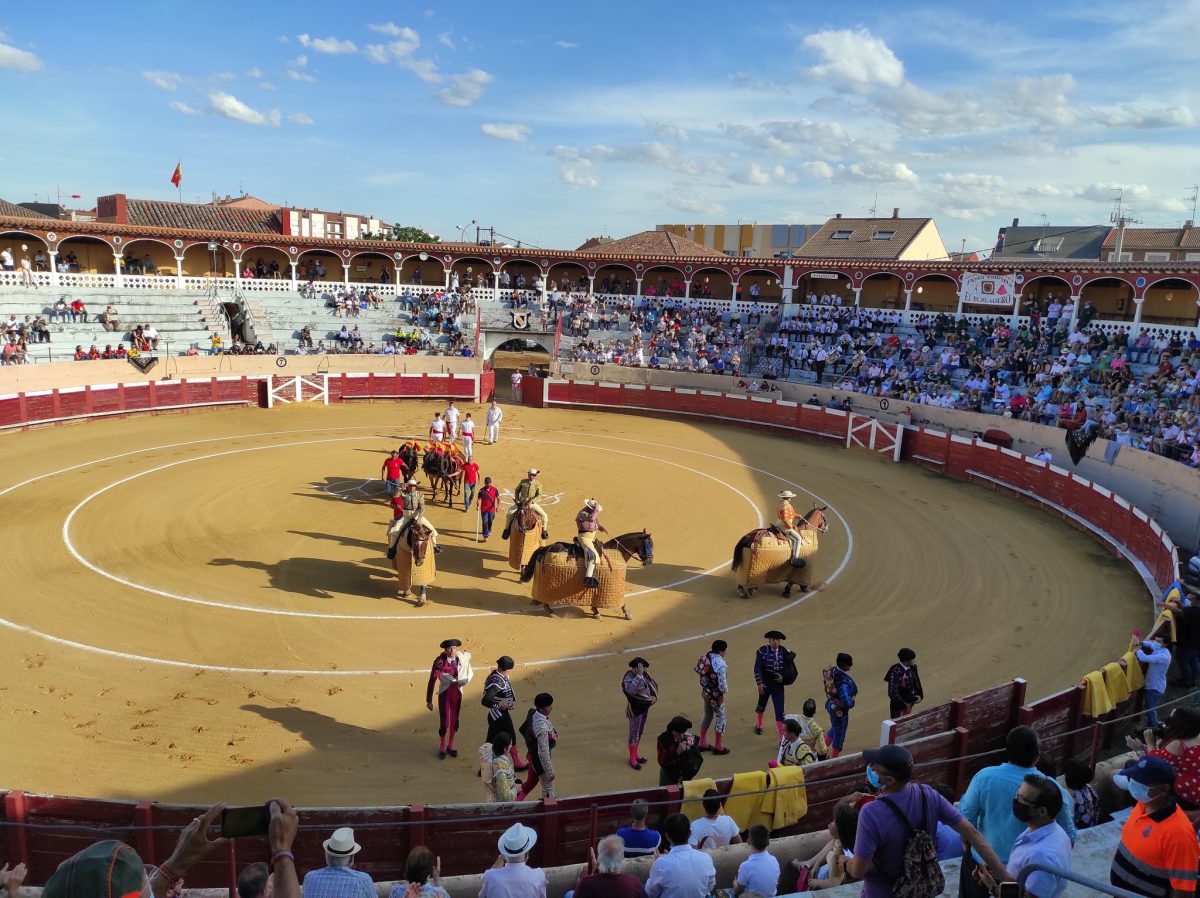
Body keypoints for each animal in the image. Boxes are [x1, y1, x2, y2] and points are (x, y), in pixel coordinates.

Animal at [518, 533, 652, 619]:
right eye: (647, 545)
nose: (649, 561)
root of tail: (544, 548)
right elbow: (621, 601)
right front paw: (627, 613)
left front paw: (595, 611)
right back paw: (550, 611)